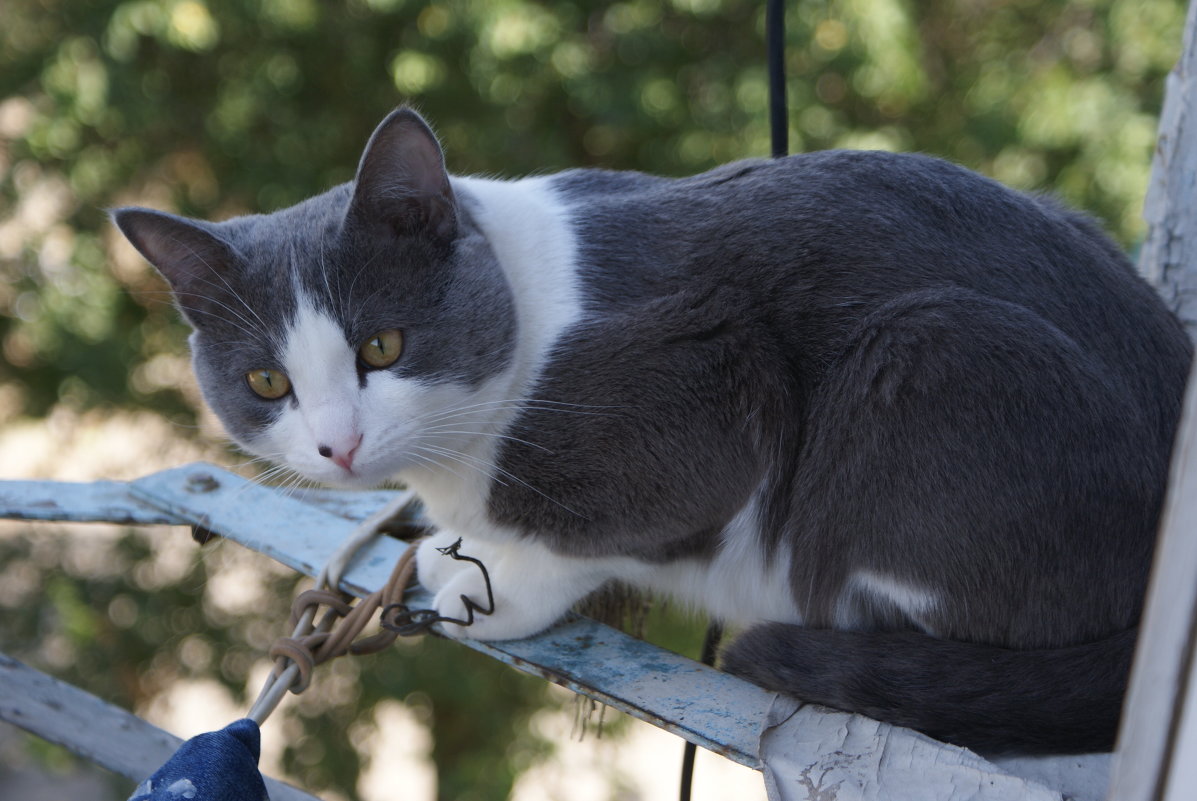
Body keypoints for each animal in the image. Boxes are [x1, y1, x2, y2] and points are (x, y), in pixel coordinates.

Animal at [110, 109, 1187, 751]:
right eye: (267, 380)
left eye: (384, 343)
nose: (338, 445)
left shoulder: (711, 375)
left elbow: (611, 526)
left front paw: (491, 582)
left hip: (933, 354)